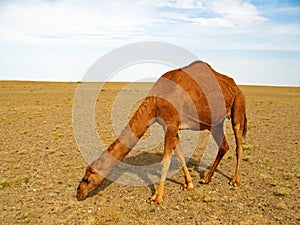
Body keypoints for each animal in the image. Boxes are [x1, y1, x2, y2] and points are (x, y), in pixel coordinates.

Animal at [77, 60, 246, 204]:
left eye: (87, 178)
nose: (79, 192)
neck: (155, 103)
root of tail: (236, 86)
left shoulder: (171, 124)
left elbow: (166, 160)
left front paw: (156, 197)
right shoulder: (170, 126)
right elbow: (180, 155)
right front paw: (188, 184)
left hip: (238, 105)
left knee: (238, 145)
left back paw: (235, 181)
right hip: (215, 123)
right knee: (224, 146)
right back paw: (206, 178)